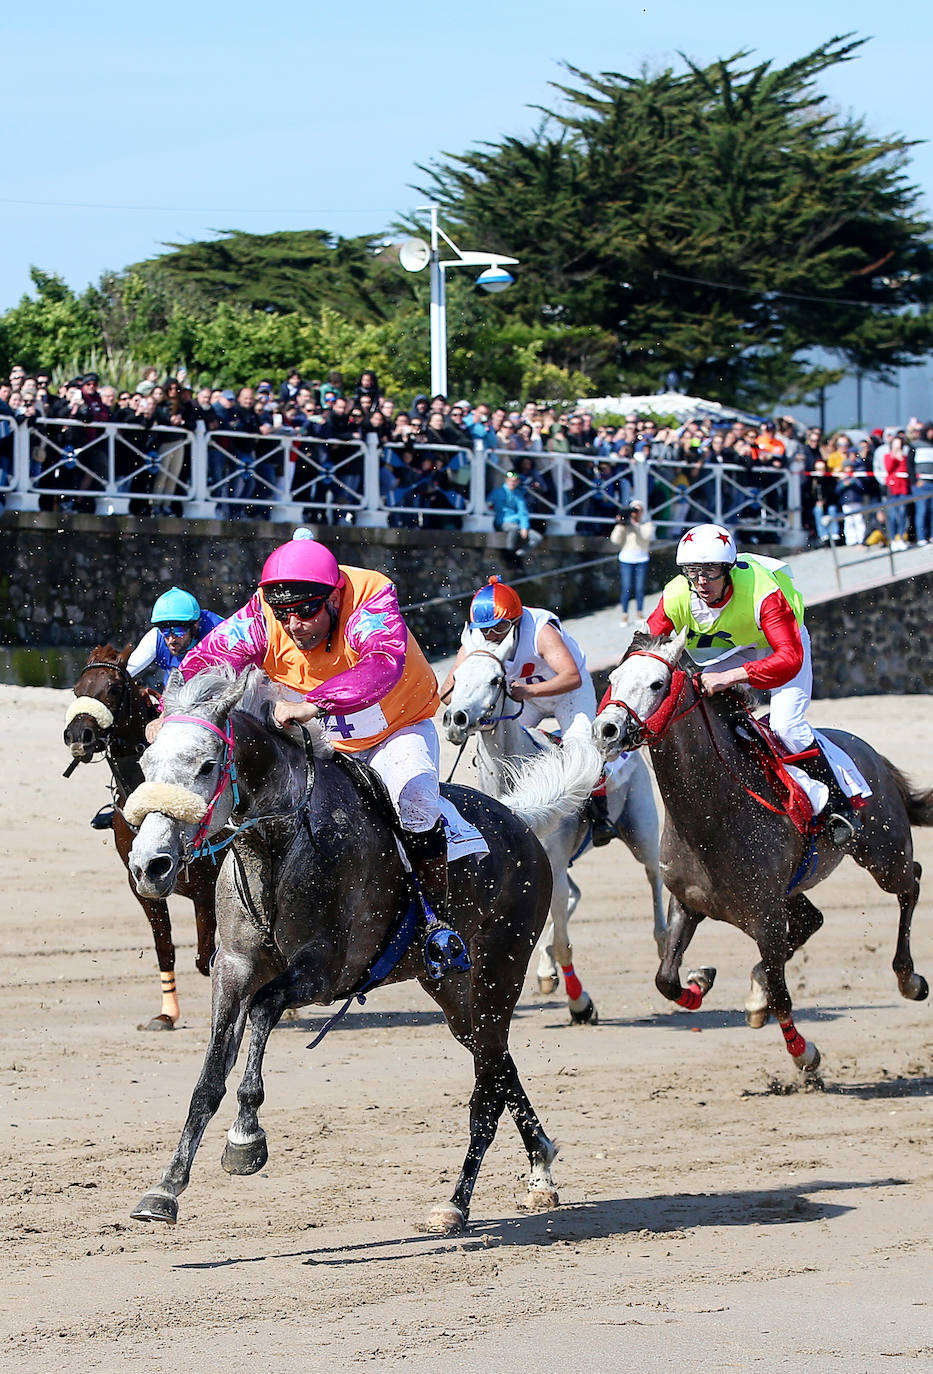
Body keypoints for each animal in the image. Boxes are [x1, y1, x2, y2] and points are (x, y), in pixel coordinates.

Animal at [62, 645, 218, 1033]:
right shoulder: (141, 884)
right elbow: (166, 948)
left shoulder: (207, 885)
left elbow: (207, 956)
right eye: (76, 689)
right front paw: (166, 1014)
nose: (79, 735)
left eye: (115, 688)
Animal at [124, 665, 599, 1236]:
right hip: (453, 992)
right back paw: (540, 1167)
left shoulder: (324, 971)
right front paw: (165, 1188)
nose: (149, 865)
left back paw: (457, 1203)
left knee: (486, 1090)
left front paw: (245, 1137)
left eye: (207, 764)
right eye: (147, 763)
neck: (278, 847)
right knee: (497, 1061)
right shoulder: (233, 968)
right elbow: (209, 1077)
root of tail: (520, 821)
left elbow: (263, 1010)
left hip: (499, 973)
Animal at [442, 629, 667, 1027]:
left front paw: (581, 1005)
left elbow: (564, 944)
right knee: (573, 897)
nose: (456, 719)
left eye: (495, 679)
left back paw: (661, 940)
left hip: (640, 830)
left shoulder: (556, 866)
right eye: (457, 678)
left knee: (653, 876)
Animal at [593, 629, 928, 1071]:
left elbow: (783, 996)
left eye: (656, 684)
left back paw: (909, 979)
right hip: (795, 888)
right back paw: (755, 993)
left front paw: (805, 1055)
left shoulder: (766, 919)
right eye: (613, 678)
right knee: (813, 919)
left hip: (884, 856)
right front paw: (702, 980)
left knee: (911, 884)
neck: (712, 812)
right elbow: (666, 979)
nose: (606, 730)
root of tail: (869, 751)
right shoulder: (688, 902)